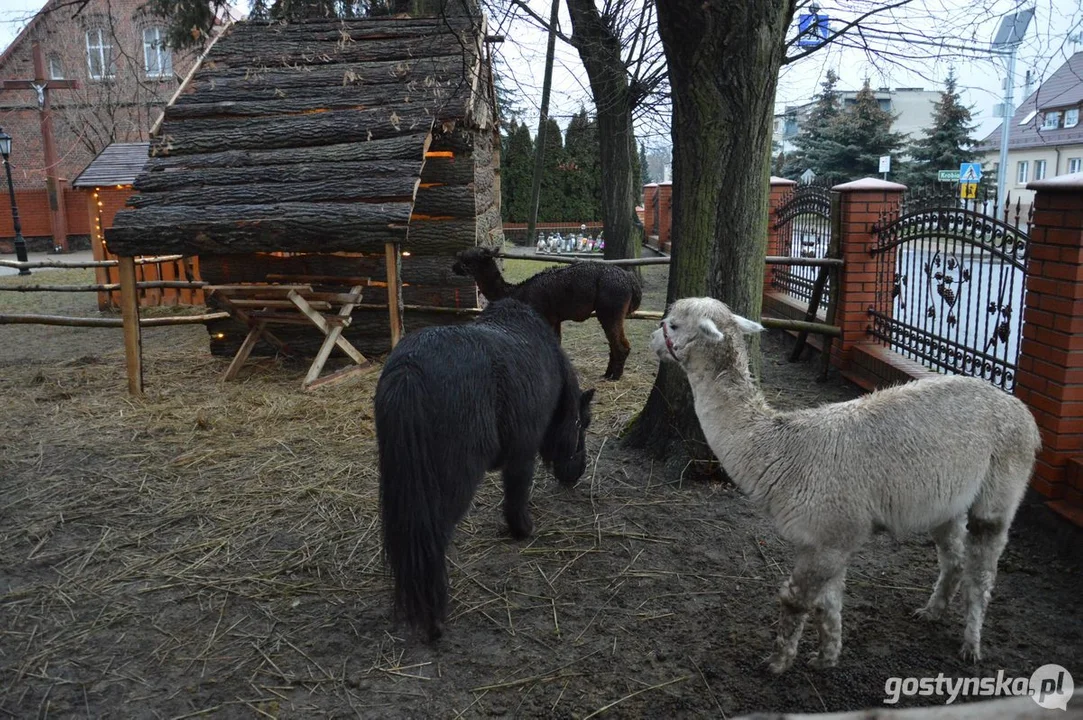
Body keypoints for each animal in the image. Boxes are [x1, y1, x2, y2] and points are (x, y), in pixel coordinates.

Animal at [372, 296, 593, 640]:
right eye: (583, 423)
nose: (578, 472)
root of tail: (409, 370)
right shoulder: (522, 454)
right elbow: (516, 495)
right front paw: (522, 530)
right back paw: (434, 620)